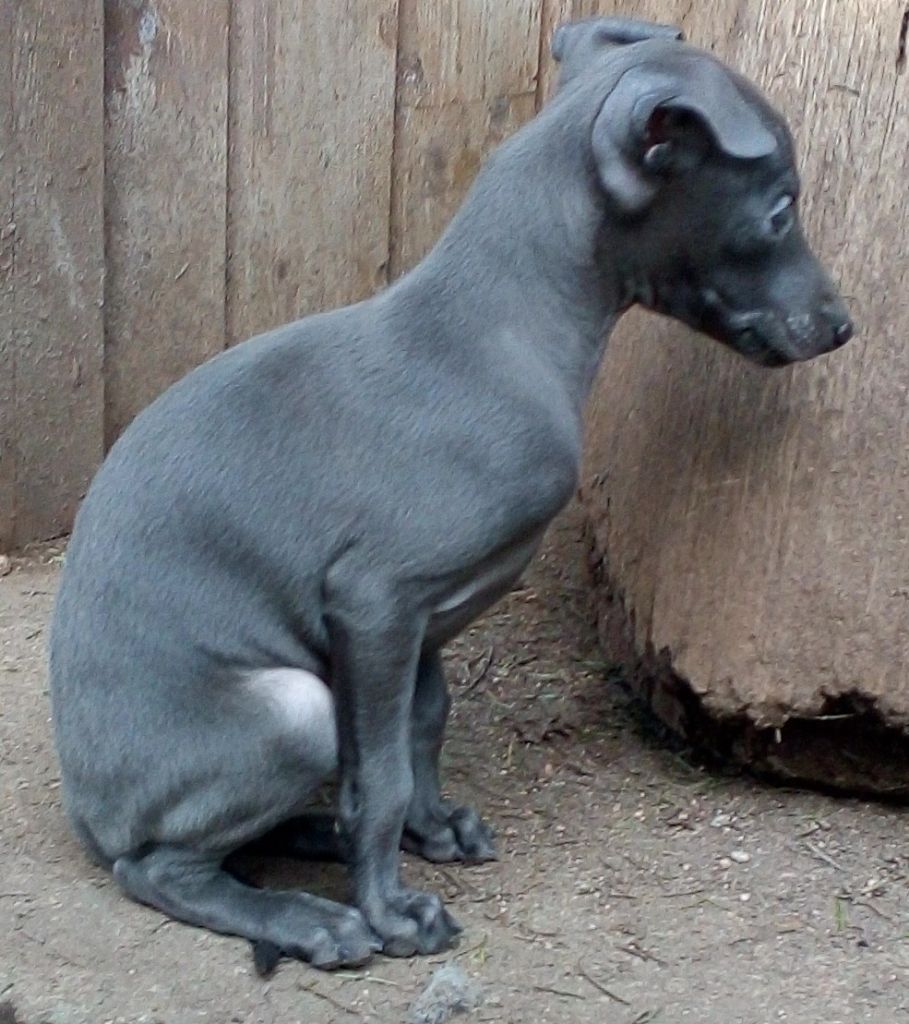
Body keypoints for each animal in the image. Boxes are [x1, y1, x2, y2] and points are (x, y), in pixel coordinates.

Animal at [49, 17, 853, 971]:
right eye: (779, 210)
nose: (843, 326)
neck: (500, 333)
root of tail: (90, 813)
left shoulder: (420, 619)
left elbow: (419, 728)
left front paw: (425, 830)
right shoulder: (374, 599)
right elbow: (383, 774)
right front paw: (391, 909)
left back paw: (318, 836)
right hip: (290, 712)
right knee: (160, 867)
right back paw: (307, 917)